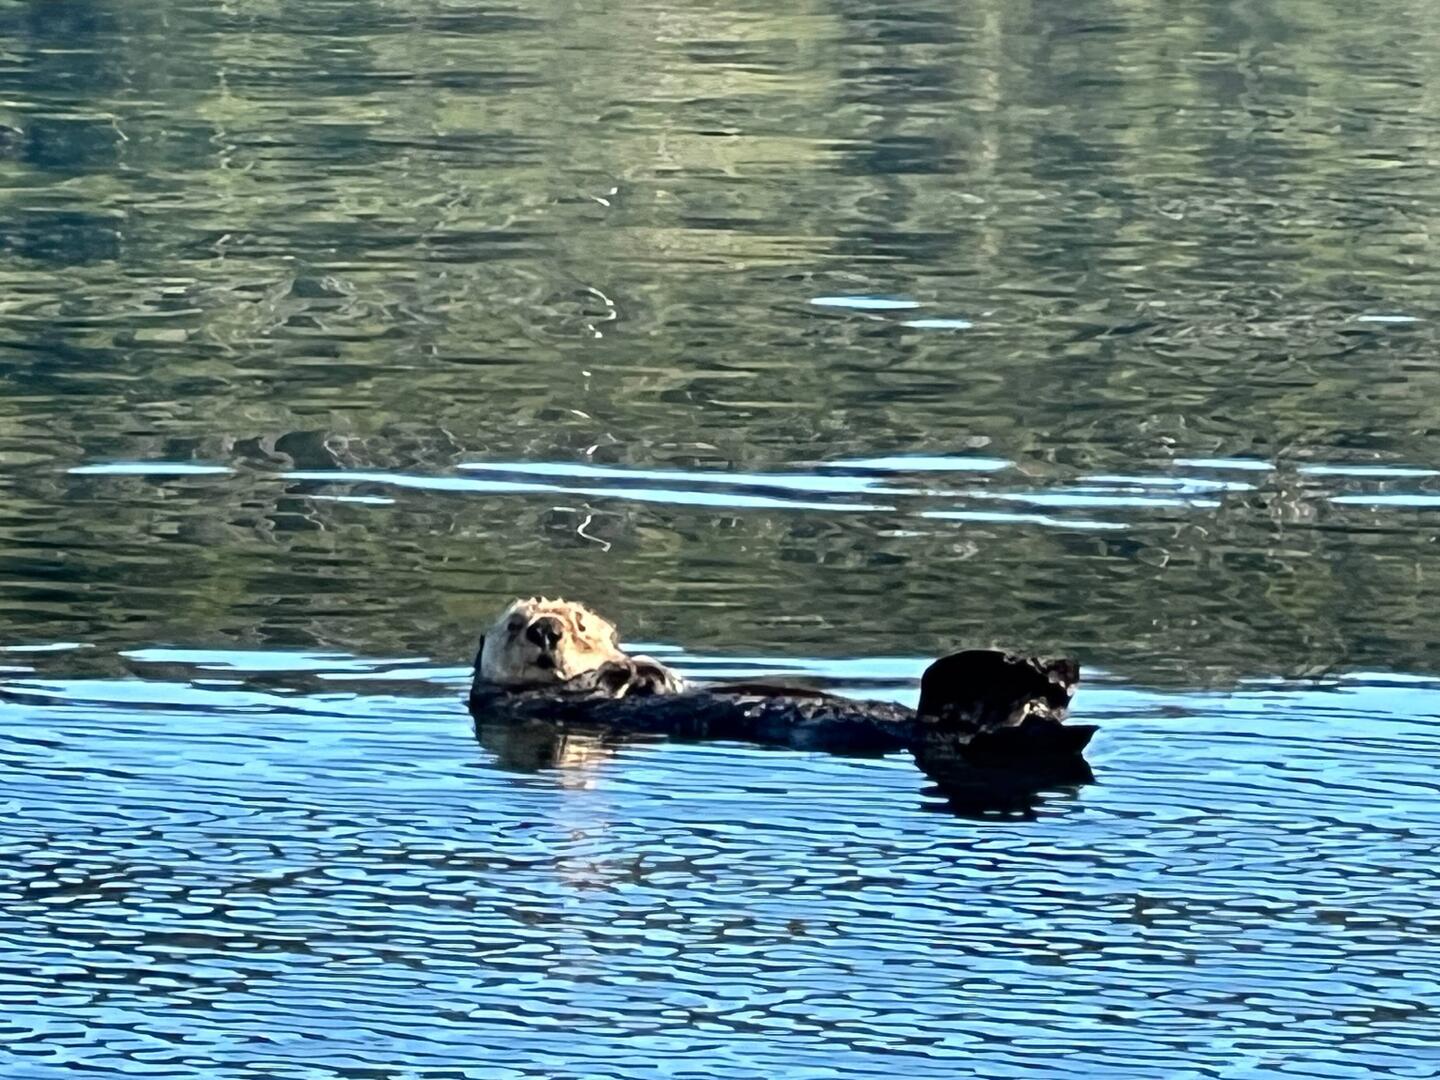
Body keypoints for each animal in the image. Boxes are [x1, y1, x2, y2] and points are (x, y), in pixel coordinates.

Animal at [469, 599, 1097, 812]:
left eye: (579, 623)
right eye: (515, 624)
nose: (546, 631)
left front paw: (643, 667)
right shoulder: (518, 705)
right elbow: (589, 690)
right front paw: (622, 670)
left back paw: (1054, 675)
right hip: (953, 717)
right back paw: (1040, 676)